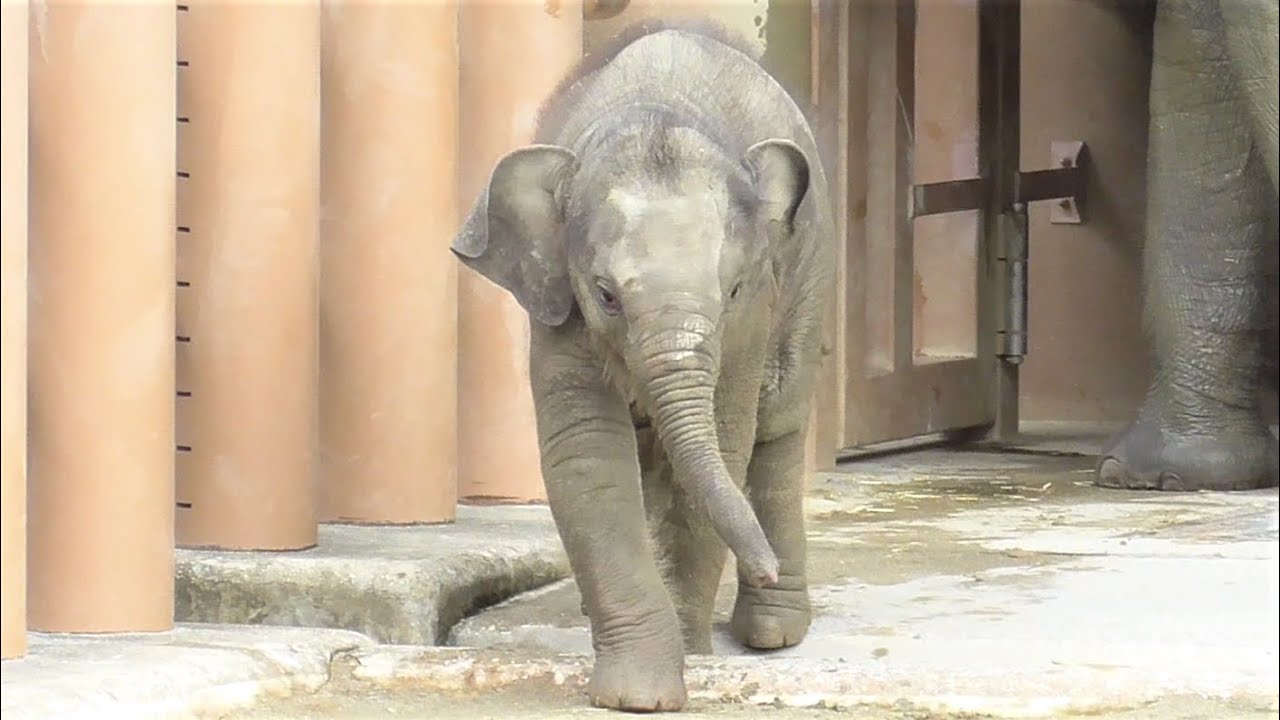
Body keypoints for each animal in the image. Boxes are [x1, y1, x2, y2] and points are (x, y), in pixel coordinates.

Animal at [451, 19, 835, 713]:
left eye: (733, 290)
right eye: (606, 295)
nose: (761, 564)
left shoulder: (752, 316)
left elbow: (725, 443)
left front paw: (691, 655)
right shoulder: (558, 302)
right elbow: (589, 453)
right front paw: (641, 695)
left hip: (814, 268)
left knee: (778, 424)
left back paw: (771, 633)